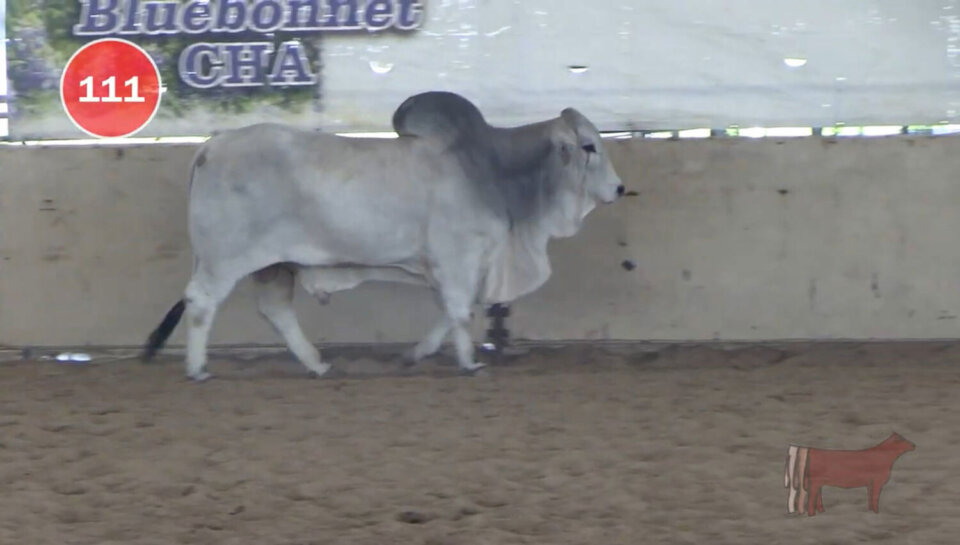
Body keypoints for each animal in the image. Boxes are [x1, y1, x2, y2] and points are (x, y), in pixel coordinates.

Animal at [141, 91, 626, 381]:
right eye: (589, 146)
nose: (620, 189)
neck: (492, 169)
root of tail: (211, 145)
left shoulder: (462, 266)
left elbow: (454, 311)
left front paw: (417, 355)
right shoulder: (458, 257)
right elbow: (458, 311)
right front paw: (469, 362)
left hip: (274, 265)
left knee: (276, 311)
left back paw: (317, 364)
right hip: (224, 260)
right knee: (201, 302)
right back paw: (198, 369)